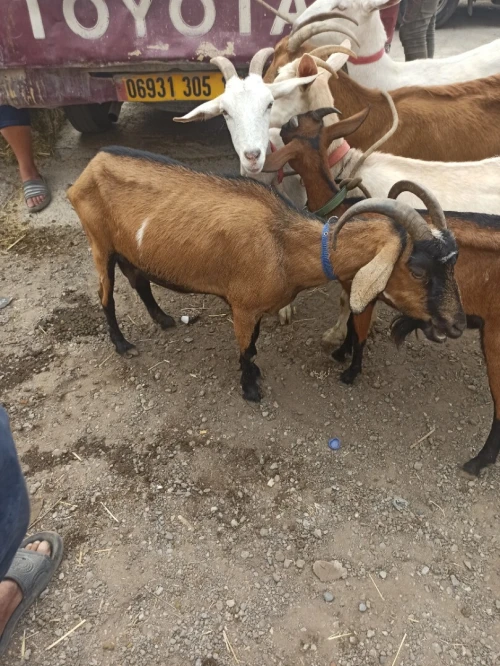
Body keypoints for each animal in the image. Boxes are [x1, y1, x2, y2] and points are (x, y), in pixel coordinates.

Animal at [68, 145, 465, 404]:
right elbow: (245, 348)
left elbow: (255, 342)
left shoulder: (254, 305)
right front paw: (251, 388)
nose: (457, 324)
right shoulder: (242, 306)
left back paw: (164, 319)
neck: (285, 244)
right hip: (99, 242)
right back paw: (123, 345)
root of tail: (91, 166)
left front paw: (256, 370)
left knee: (139, 280)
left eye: (452, 263)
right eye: (417, 269)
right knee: (106, 295)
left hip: (127, 248)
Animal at [264, 108, 500, 476]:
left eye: (294, 126)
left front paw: (349, 370)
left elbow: (358, 327)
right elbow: (350, 320)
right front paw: (341, 351)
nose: (281, 125)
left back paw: (478, 462)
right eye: (307, 121)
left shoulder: (364, 289)